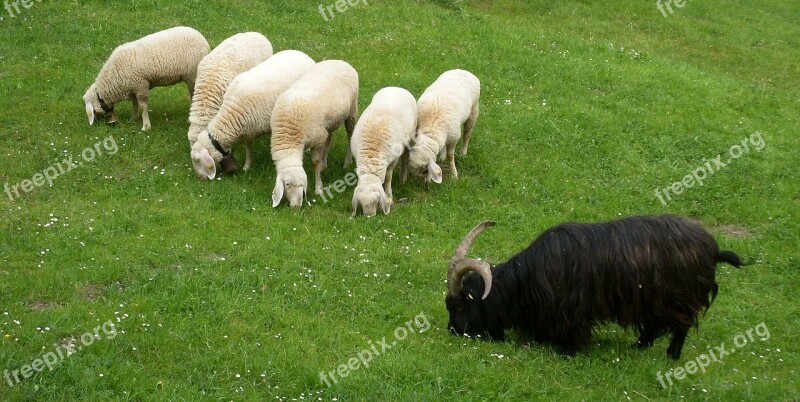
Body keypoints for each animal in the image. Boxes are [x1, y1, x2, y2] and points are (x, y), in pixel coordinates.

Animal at [83, 25, 211, 132]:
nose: (98, 125)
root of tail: (203, 39)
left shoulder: (141, 85)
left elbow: (143, 106)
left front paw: (145, 126)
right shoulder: (132, 87)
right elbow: (134, 104)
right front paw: (133, 119)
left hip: (192, 75)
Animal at [192, 50, 318, 179]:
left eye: (198, 160)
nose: (200, 178)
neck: (232, 113)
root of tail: (300, 53)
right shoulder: (248, 129)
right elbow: (248, 147)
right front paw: (247, 166)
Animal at [270, 61, 358, 210]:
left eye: (302, 184)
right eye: (287, 184)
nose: (297, 206)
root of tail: (340, 61)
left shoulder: (317, 139)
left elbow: (314, 163)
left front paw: (318, 188)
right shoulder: (319, 135)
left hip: (352, 110)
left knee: (350, 135)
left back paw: (346, 162)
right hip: (328, 123)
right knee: (329, 138)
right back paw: (324, 163)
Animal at [348, 87, 416, 217]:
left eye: (377, 201)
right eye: (360, 203)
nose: (369, 216)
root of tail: (396, 87)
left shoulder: (393, 159)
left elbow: (388, 177)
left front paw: (389, 196)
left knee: (405, 156)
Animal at [446, 215, 748, 360]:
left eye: (459, 305)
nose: (453, 331)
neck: (525, 280)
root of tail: (713, 250)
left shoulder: (570, 314)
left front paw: (568, 352)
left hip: (678, 298)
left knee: (682, 325)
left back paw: (671, 356)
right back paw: (639, 347)